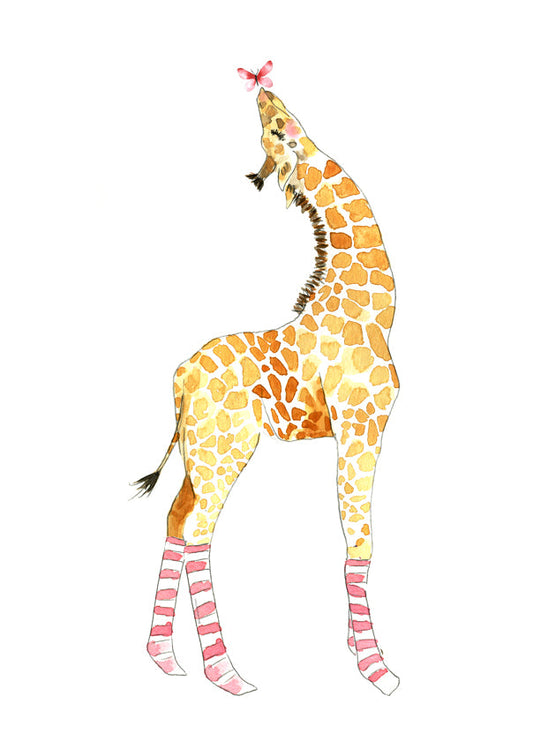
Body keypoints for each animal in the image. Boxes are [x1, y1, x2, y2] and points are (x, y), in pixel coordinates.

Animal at [135, 88, 400, 696]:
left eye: (280, 126)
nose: (262, 88)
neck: (374, 310)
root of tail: (180, 378)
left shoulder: (358, 433)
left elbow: (355, 537)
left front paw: (355, 647)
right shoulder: (362, 426)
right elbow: (360, 539)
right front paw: (376, 667)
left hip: (200, 455)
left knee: (175, 522)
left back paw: (164, 656)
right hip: (227, 450)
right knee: (199, 533)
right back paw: (226, 673)